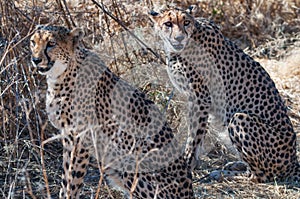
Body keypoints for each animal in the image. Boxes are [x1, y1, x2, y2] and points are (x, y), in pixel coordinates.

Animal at [31, 25, 195, 198]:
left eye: (51, 43)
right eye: (33, 42)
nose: (36, 60)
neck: (61, 74)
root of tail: (188, 190)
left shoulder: (80, 138)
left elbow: (72, 180)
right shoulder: (68, 135)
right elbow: (66, 176)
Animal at [150, 5, 300, 183]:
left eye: (186, 22)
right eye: (168, 23)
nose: (179, 38)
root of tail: (293, 161)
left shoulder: (200, 98)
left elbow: (194, 136)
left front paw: (186, 165)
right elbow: (197, 135)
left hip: (239, 118)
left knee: (261, 176)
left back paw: (224, 174)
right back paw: (236, 165)